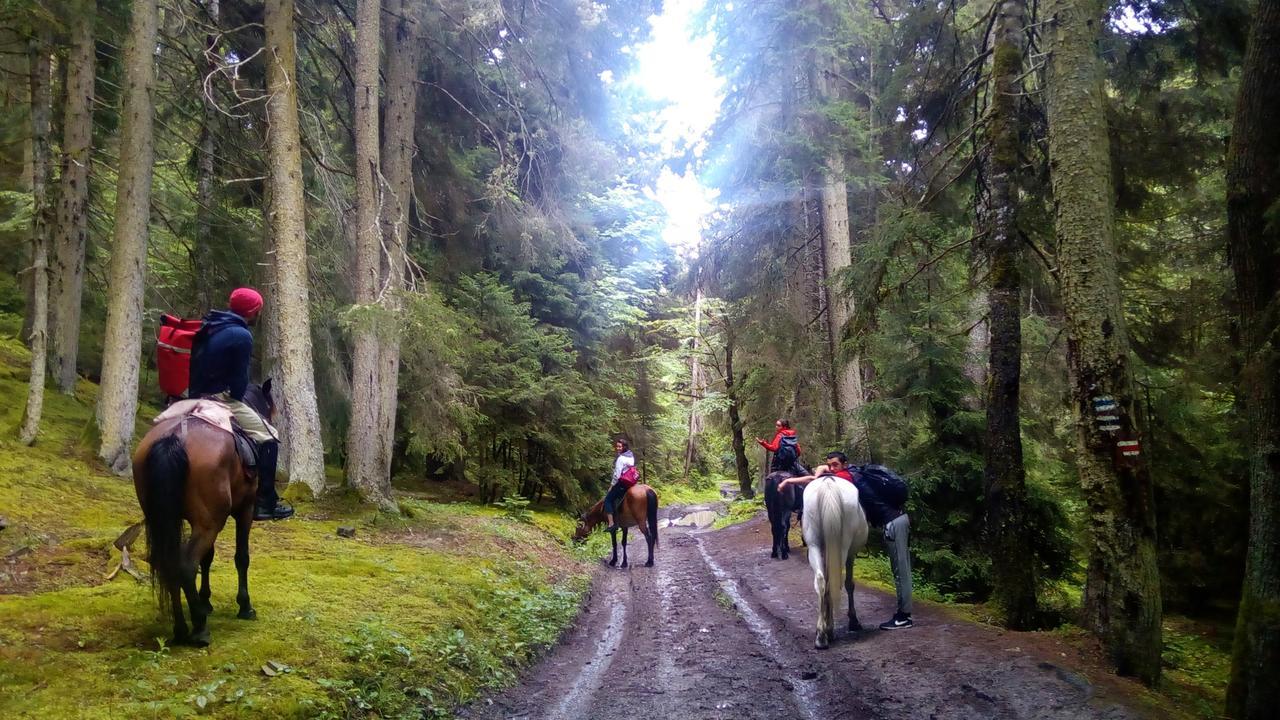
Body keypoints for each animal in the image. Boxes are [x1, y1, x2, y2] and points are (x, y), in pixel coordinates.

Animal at [133, 381, 272, 645]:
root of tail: (175, 437)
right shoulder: (245, 510)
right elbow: (241, 557)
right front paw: (245, 606)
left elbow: (208, 558)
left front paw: (205, 600)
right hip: (210, 524)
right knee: (186, 565)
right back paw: (198, 628)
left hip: (165, 520)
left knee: (169, 563)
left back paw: (180, 628)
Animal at [798, 476, 870, 645]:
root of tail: (828, 483)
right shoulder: (851, 555)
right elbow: (849, 584)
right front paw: (853, 621)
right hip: (842, 546)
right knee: (833, 583)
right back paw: (828, 631)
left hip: (814, 545)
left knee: (821, 581)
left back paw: (821, 635)